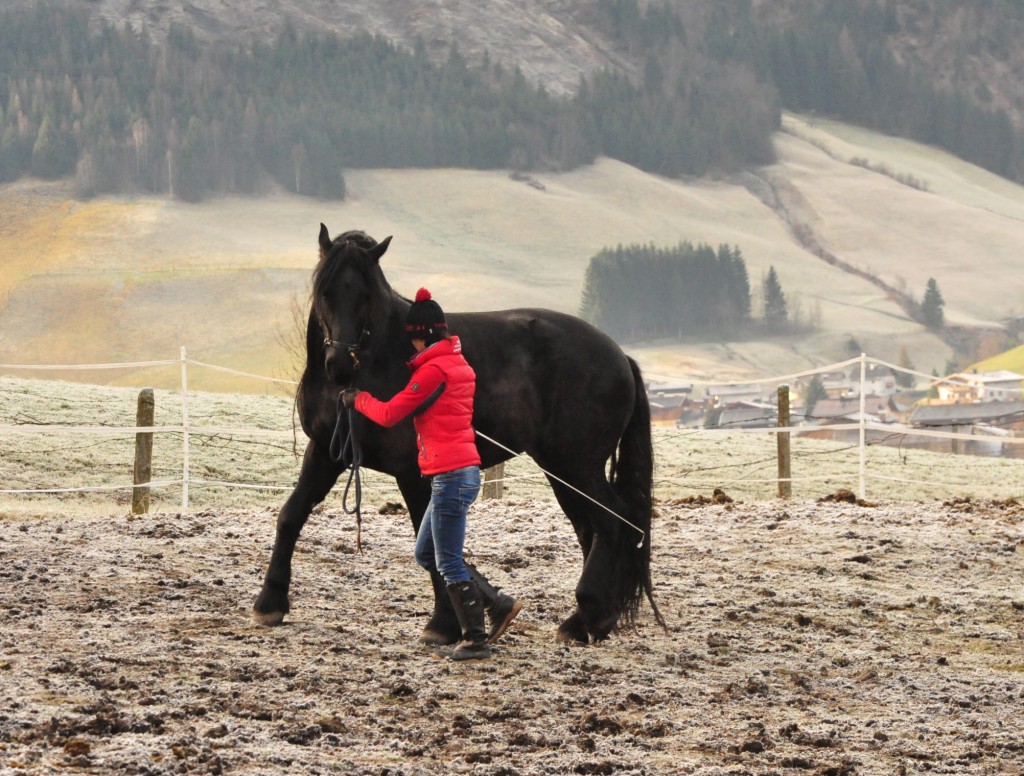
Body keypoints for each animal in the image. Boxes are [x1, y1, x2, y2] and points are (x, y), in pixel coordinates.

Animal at [251, 226, 659, 642]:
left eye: (365, 295)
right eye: (325, 292)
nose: (339, 366)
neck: (382, 357)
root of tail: (619, 355)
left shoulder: (411, 470)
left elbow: (430, 540)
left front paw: (443, 623)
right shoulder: (326, 451)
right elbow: (291, 515)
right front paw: (270, 603)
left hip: (577, 466)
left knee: (612, 522)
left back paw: (586, 616)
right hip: (562, 470)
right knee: (591, 527)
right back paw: (595, 619)